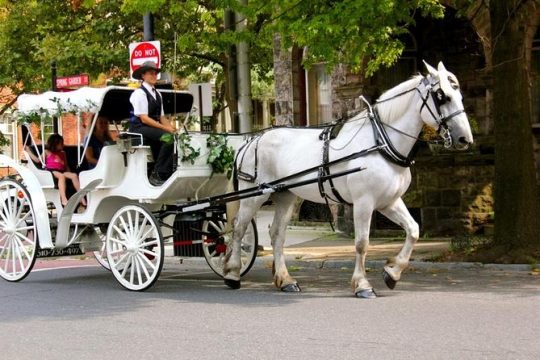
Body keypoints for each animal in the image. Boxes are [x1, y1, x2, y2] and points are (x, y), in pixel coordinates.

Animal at [224, 62, 472, 298]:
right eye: (442, 96)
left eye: (459, 95)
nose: (465, 139)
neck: (381, 143)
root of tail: (252, 140)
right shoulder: (364, 202)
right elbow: (362, 243)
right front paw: (362, 285)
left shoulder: (389, 202)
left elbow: (413, 230)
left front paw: (392, 272)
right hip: (254, 195)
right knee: (239, 228)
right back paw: (233, 273)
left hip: (286, 195)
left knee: (277, 234)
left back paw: (285, 280)